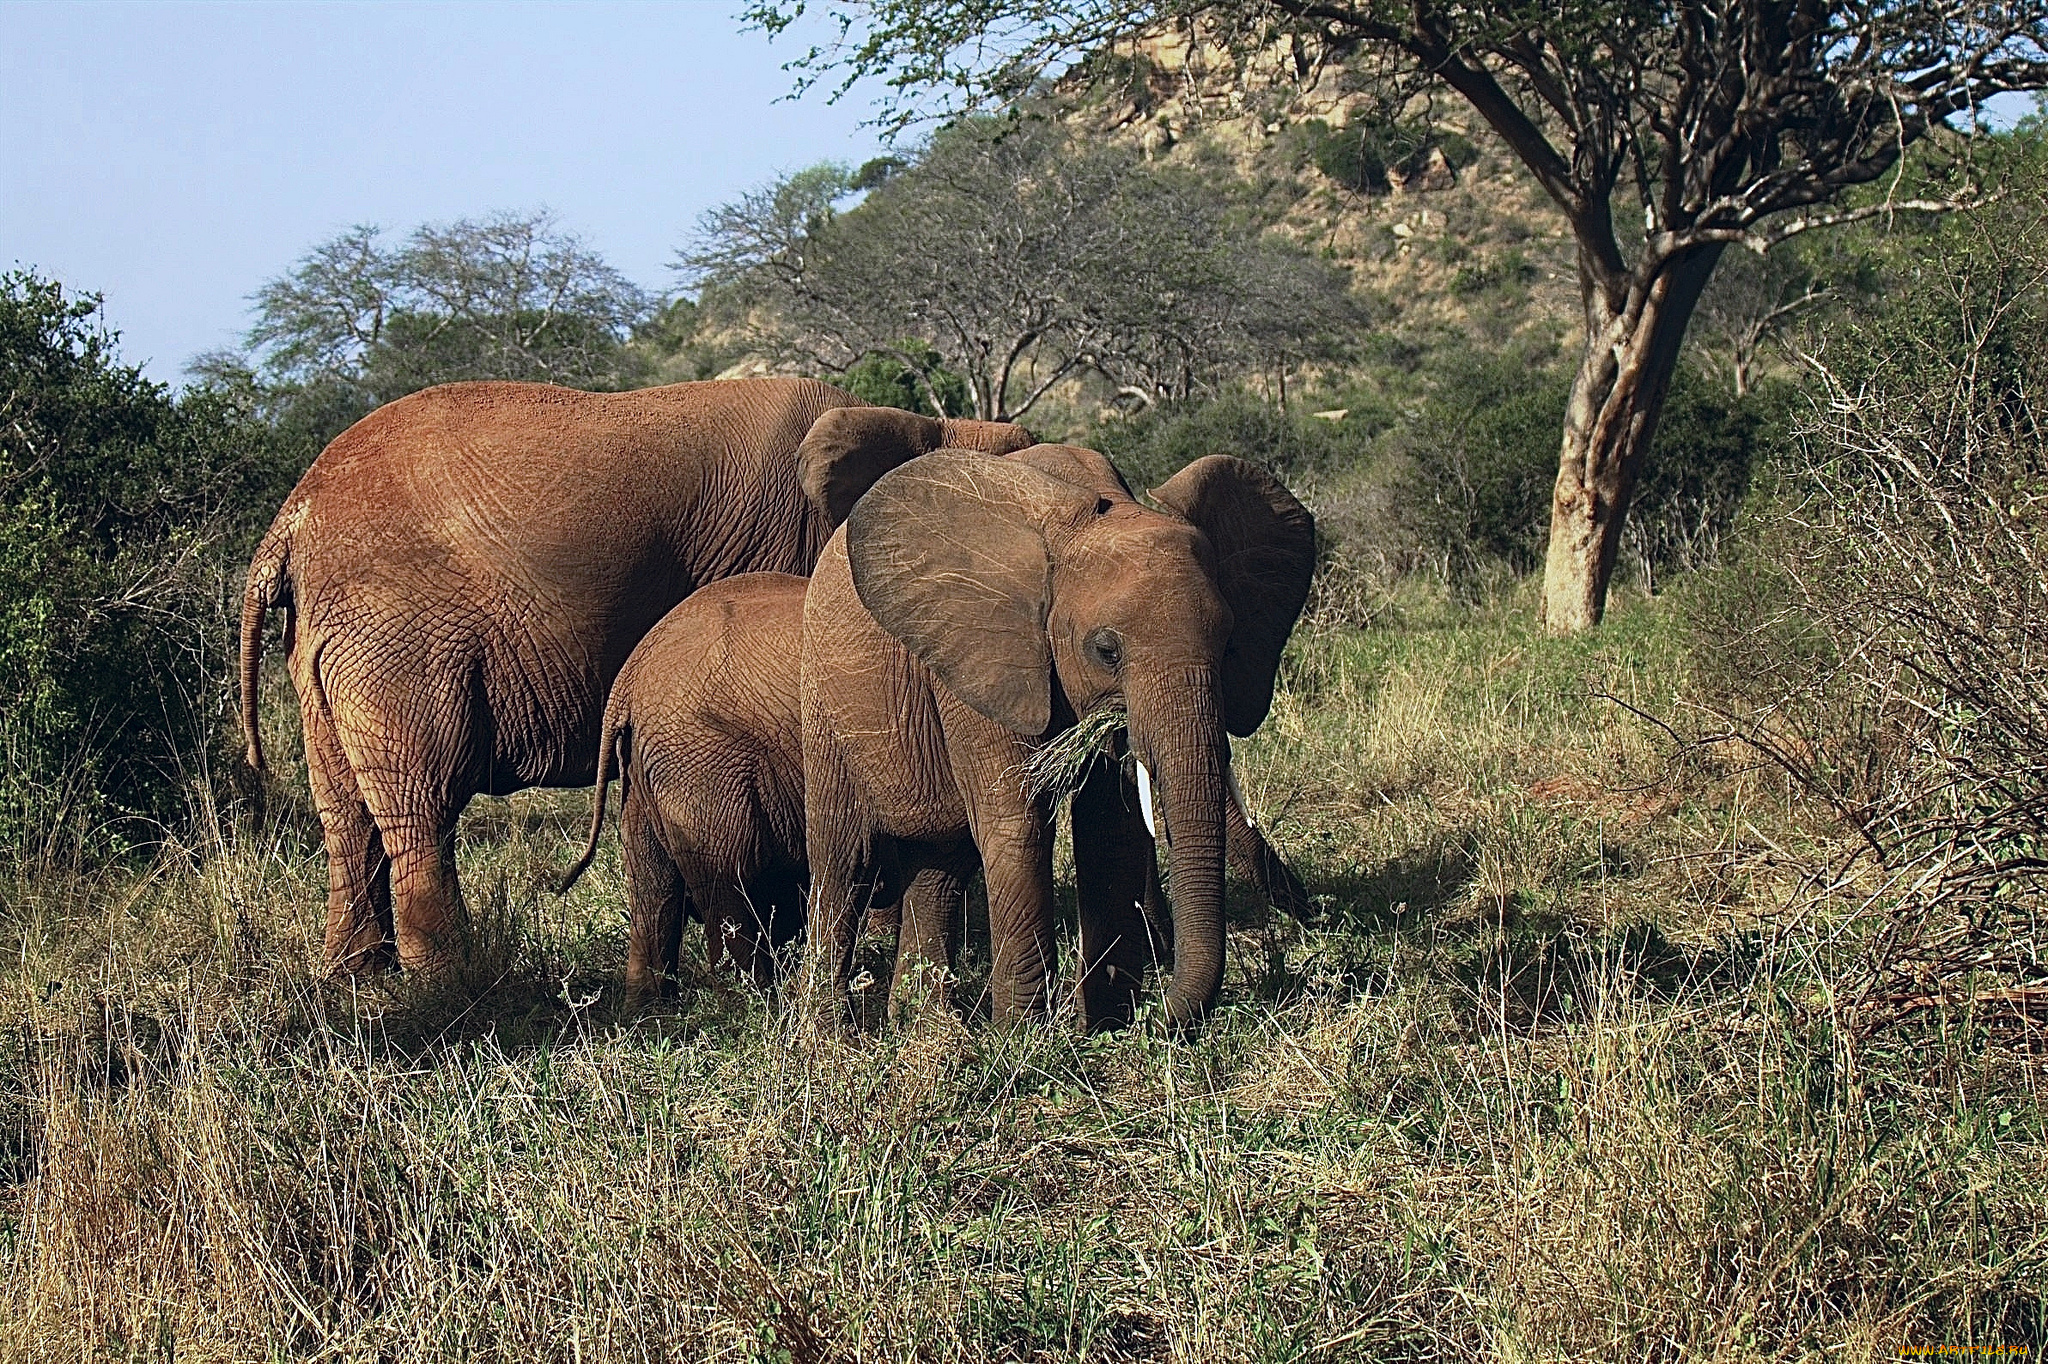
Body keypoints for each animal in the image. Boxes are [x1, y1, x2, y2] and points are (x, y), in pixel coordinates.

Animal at [237, 378, 1032, 978]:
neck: (924, 427)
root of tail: (291, 521)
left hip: (327, 644)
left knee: (347, 815)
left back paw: (358, 982)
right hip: (396, 638)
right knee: (419, 806)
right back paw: (453, 990)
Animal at [798, 446, 1310, 1032]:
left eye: (1228, 646)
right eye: (1106, 650)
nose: (1157, 1017)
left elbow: (1111, 829)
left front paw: (1105, 1028)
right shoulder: (986, 660)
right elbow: (1017, 825)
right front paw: (1021, 1038)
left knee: (939, 871)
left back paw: (929, 1029)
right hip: (825, 703)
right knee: (844, 865)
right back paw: (830, 1035)